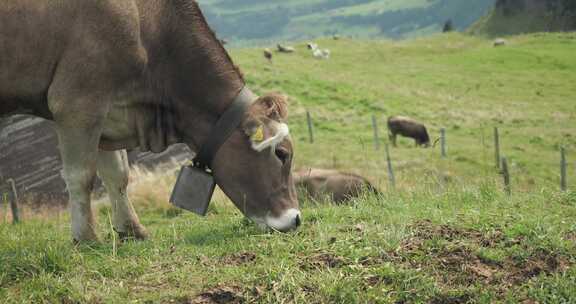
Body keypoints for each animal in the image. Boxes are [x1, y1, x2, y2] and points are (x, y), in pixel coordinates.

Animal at [1, 0, 302, 242]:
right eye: (281, 153)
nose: (296, 218)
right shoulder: (77, 101)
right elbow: (81, 176)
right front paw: (85, 238)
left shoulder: (106, 112)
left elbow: (117, 175)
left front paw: (131, 230)